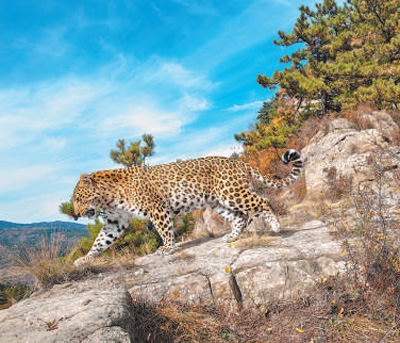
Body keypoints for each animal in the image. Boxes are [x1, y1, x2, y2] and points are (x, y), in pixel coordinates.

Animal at [72, 148, 304, 266]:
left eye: (78, 198)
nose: (75, 213)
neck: (109, 198)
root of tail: (239, 162)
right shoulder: (115, 221)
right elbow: (101, 241)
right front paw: (85, 258)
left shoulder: (157, 208)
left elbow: (165, 230)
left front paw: (167, 248)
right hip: (217, 201)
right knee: (240, 217)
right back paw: (231, 236)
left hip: (232, 192)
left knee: (261, 202)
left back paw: (276, 227)